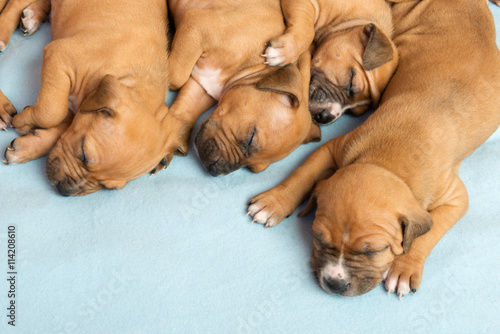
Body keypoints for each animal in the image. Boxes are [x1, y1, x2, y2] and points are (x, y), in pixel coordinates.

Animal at [3, 0, 189, 196]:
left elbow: (60, 126)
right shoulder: (59, 55)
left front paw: (29, 146)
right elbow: (51, 111)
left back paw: (34, 15)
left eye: (108, 187)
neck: (129, 76)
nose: (64, 190)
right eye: (83, 154)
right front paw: (23, 120)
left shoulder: (79, 108)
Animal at [168, 0, 320, 177]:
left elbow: (184, 107)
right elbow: (175, 78)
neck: (252, 66)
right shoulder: (196, 24)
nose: (213, 169)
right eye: (250, 138)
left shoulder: (204, 86)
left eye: (252, 169)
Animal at [264, 0, 408, 125]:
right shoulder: (305, 3)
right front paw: (283, 52)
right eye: (351, 82)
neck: (347, 22)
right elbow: (308, 31)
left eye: (354, 111)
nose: (325, 117)